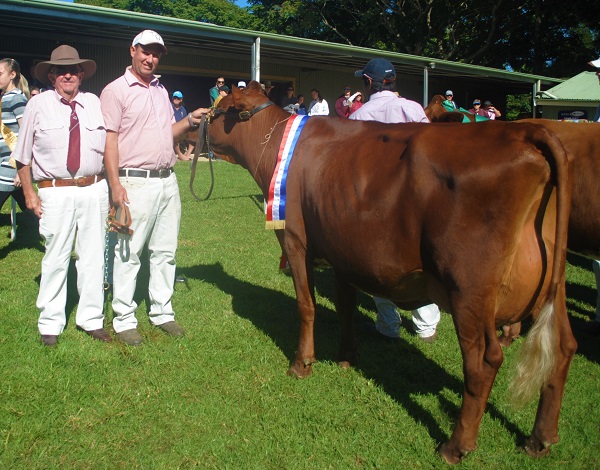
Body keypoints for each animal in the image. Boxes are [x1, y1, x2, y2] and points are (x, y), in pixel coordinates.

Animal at [206, 81, 576, 462]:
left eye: (221, 106)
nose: (197, 121)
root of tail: (522, 131)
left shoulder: (294, 238)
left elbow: (306, 306)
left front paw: (302, 363)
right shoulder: (342, 250)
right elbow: (345, 305)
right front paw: (346, 357)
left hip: (468, 289)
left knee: (483, 361)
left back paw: (456, 445)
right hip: (551, 281)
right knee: (562, 347)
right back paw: (540, 438)